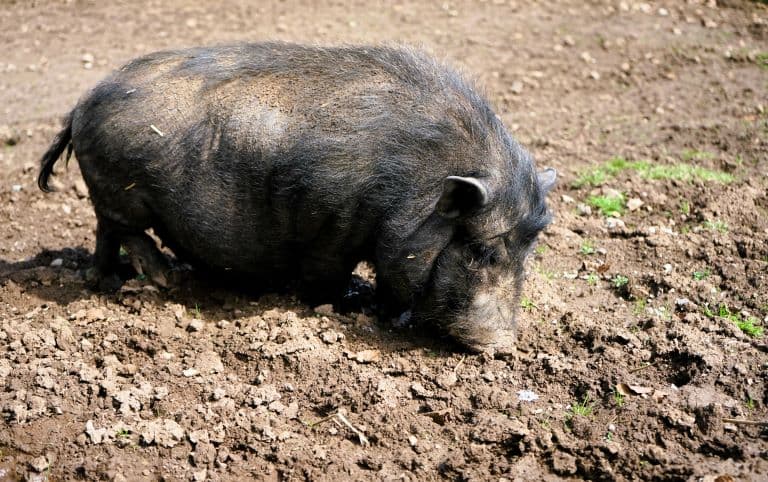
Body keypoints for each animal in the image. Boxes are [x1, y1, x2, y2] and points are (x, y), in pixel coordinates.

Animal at [38, 42, 556, 350]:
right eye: (483, 252)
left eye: (526, 255)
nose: (503, 346)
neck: (414, 183)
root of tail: (80, 106)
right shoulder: (332, 225)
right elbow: (328, 275)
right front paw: (343, 307)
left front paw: (383, 312)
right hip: (119, 189)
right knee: (122, 227)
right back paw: (163, 279)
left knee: (105, 235)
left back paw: (110, 281)